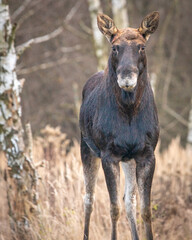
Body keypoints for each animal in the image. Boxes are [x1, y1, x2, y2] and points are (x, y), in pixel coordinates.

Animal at [79, 11, 159, 240]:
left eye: (142, 47)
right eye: (115, 47)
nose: (126, 78)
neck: (129, 112)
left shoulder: (147, 154)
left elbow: (145, 209)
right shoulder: (109, 154)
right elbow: (113, 208)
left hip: (129, 159)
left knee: (129, 201)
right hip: (86, 148)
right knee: (88, 199)